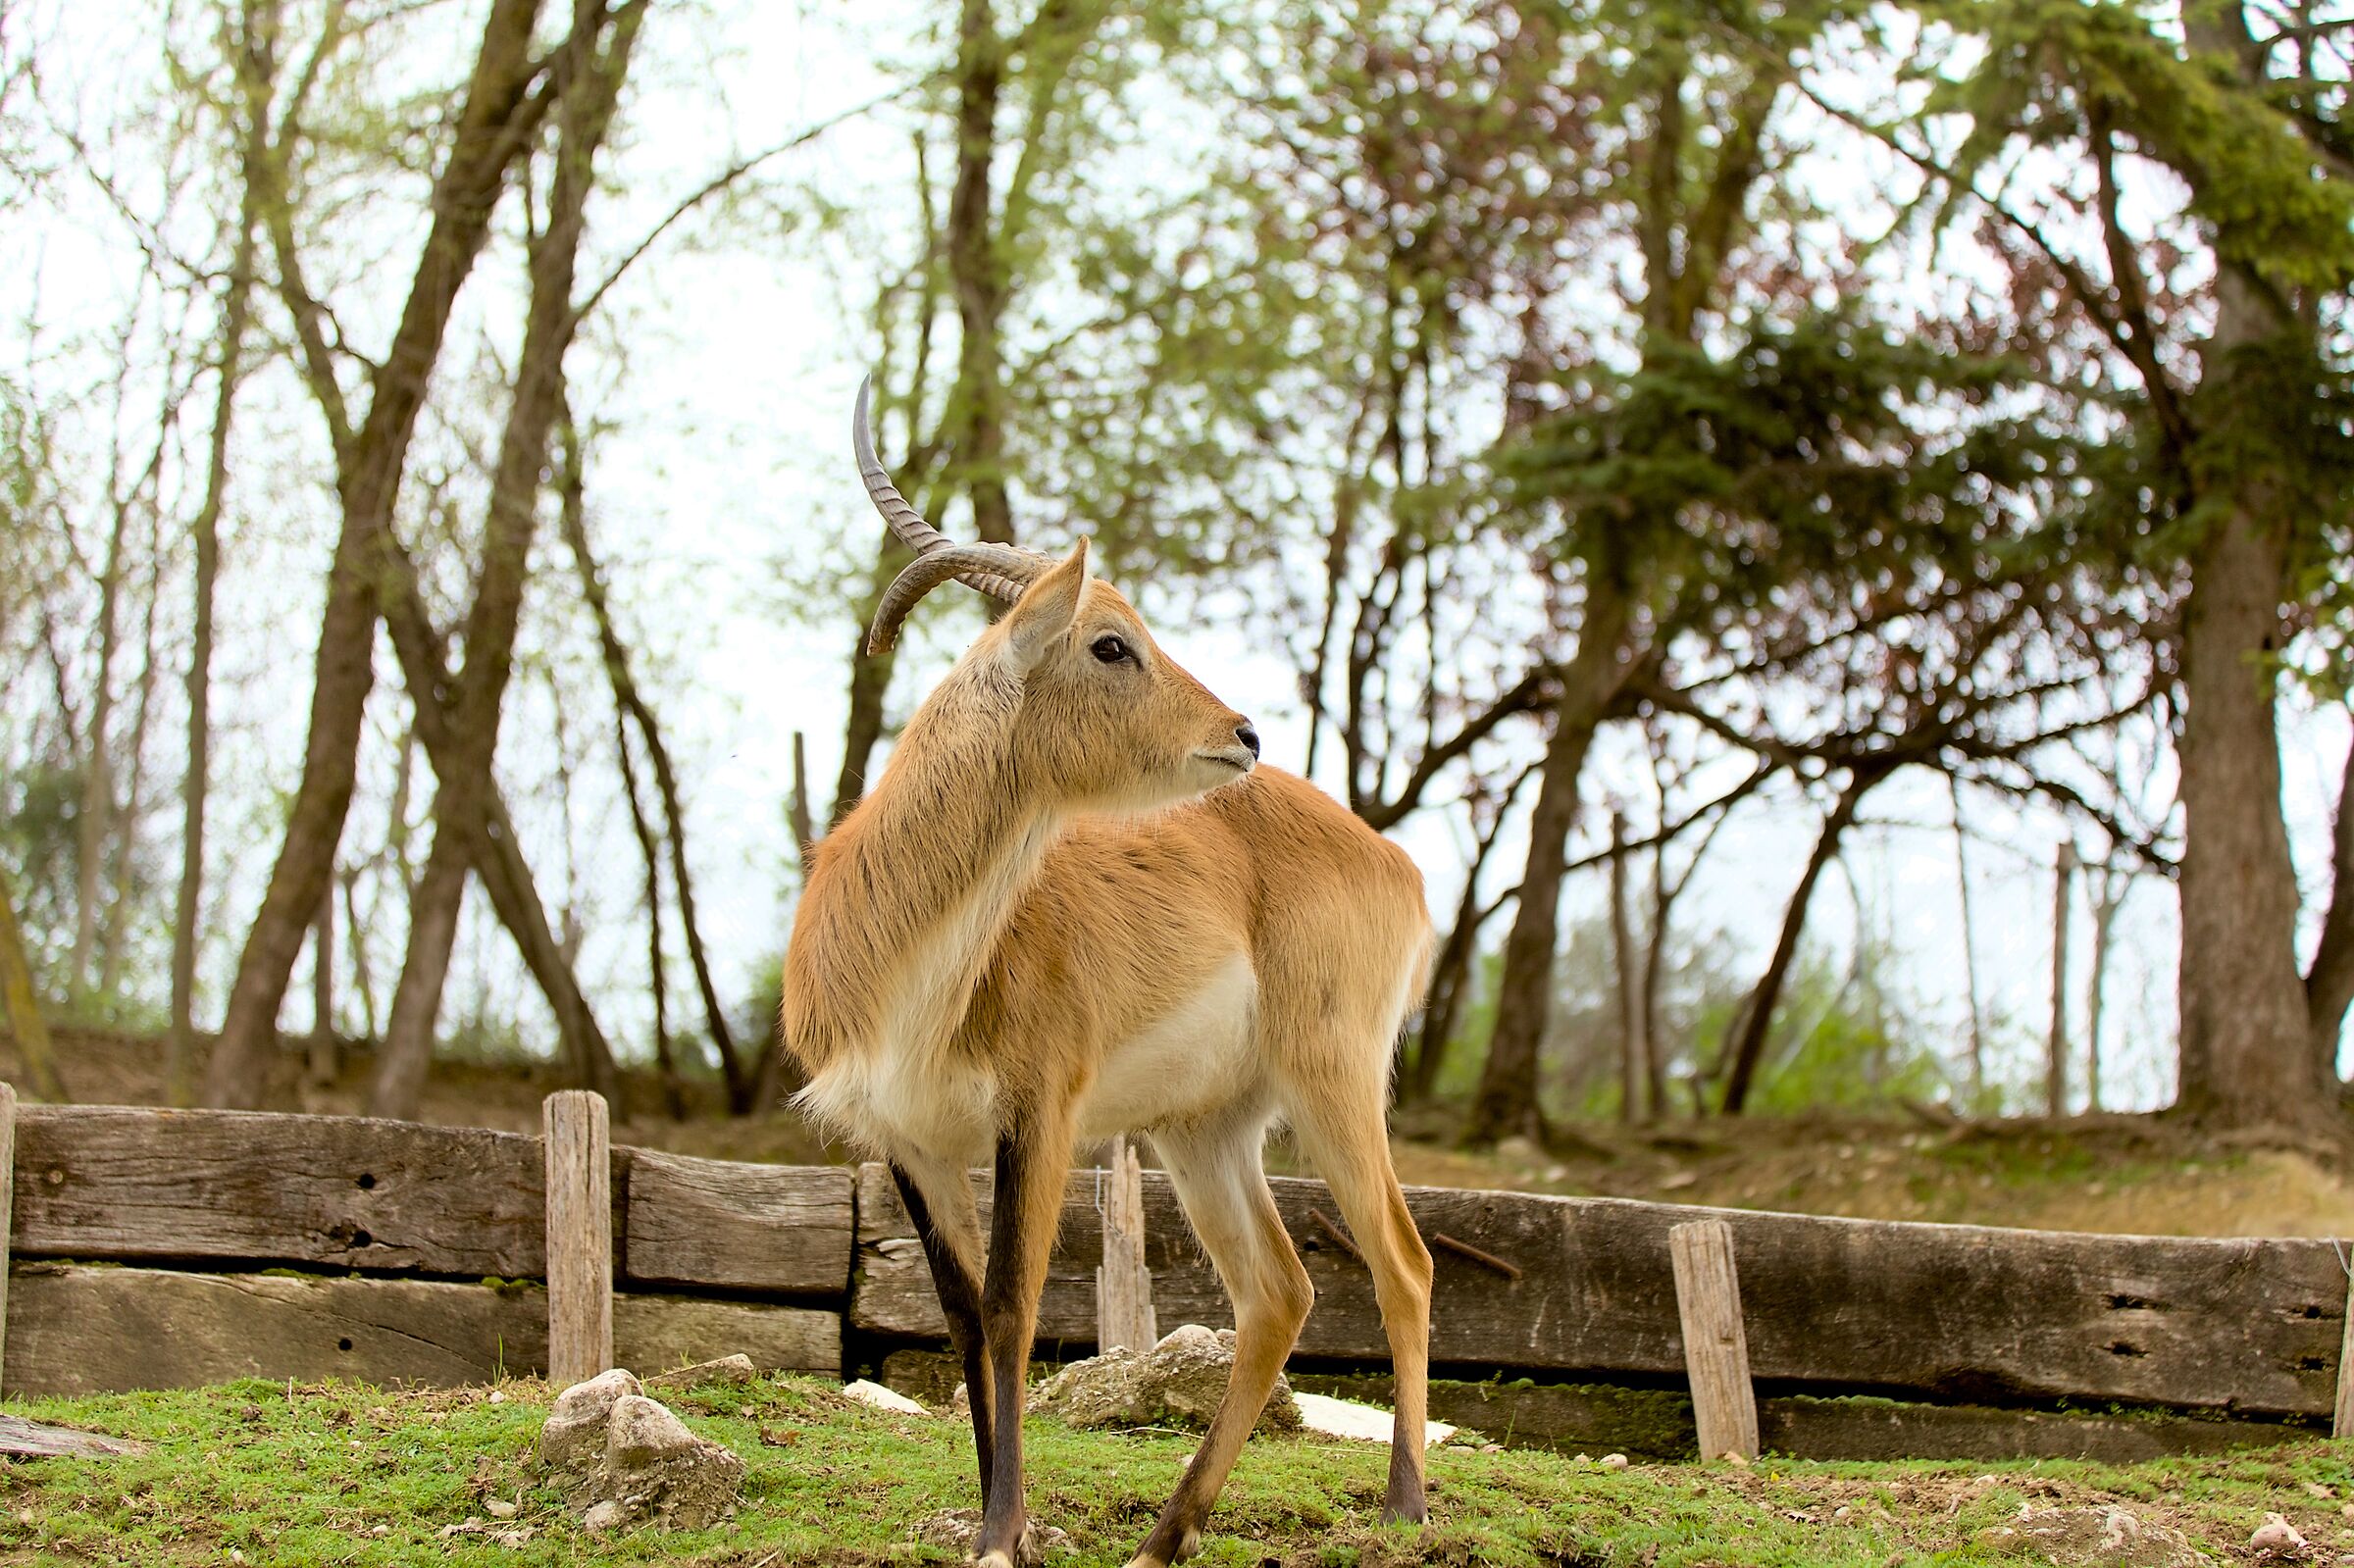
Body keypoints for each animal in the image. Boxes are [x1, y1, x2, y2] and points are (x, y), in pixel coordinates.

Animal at [781, 379, 1435, 1568]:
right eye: (1111, 643)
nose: (1245, 731)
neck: (913, 977)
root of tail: (1395, 860)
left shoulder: (1040, 1111)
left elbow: (1014, 1308)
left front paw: (1002, 1532)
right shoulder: (906, 1141)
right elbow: (959, 1315)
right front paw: (1001, 1521)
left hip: (1333, 1083)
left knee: (1399, 1265)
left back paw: (1404, 1506)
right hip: (1207, 1127)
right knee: (1280, 1292)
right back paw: (1165, 1535)